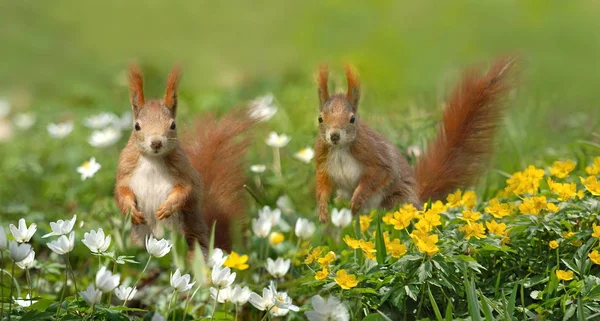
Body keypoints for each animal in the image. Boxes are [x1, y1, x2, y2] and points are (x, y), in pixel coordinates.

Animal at [314, 57, 516, 221]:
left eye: (352, 119)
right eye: (320, 118)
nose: (334, 135)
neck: (340, 148)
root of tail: (418, 198)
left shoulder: (372, 153)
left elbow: (379, 174)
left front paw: (357, 199)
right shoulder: (323, 159)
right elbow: (323, 184)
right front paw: (322, 210)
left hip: (397, 200)